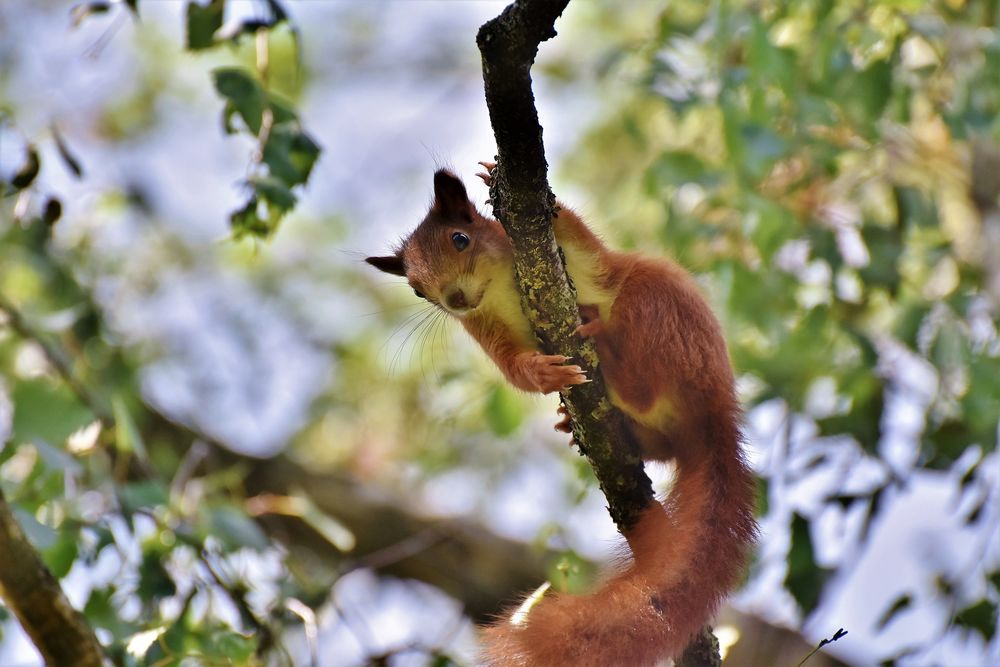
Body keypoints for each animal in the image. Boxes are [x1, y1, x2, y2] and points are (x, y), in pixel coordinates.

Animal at [366, 164, 757, 666]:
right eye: (417, 289)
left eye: (460, 238)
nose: (454, 299)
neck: (497, 290)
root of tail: (716, 414)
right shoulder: (486, 330)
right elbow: (516, 372)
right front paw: (543, 374)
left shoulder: (584, 261)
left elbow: (576, 234)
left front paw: (495, 177)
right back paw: (579, 422)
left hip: (658, 307)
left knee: (644, 368)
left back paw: (607, 349)